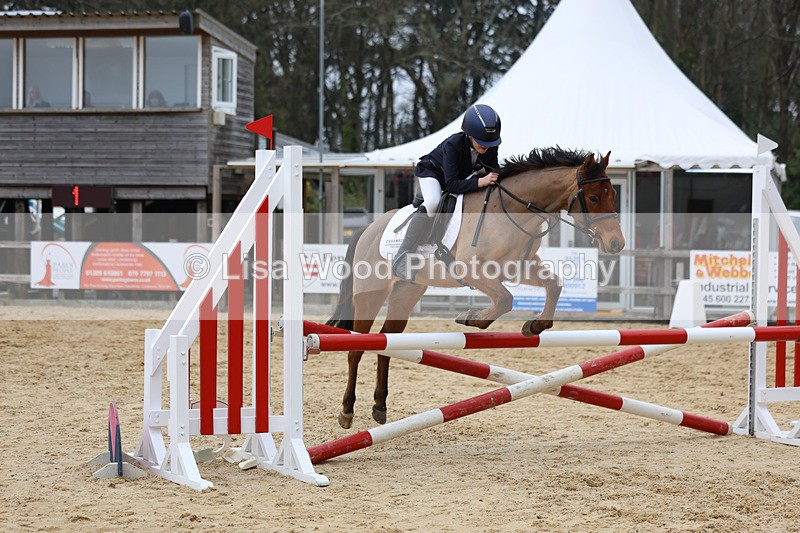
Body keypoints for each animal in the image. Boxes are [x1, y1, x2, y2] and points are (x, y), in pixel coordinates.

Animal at [326, 147, 625, 429]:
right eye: (594, 198)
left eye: (612, 194)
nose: (616, 244)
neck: (511, 211)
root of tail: (368, 229)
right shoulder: (471, 270)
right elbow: (505, 299)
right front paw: (473, 318)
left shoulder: (519, 267)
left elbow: (553, 284)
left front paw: (535, 326)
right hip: (371, 294)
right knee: (357, 349)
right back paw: (346, 411)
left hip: (406, 293)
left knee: (387, 342)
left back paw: (379, 406)